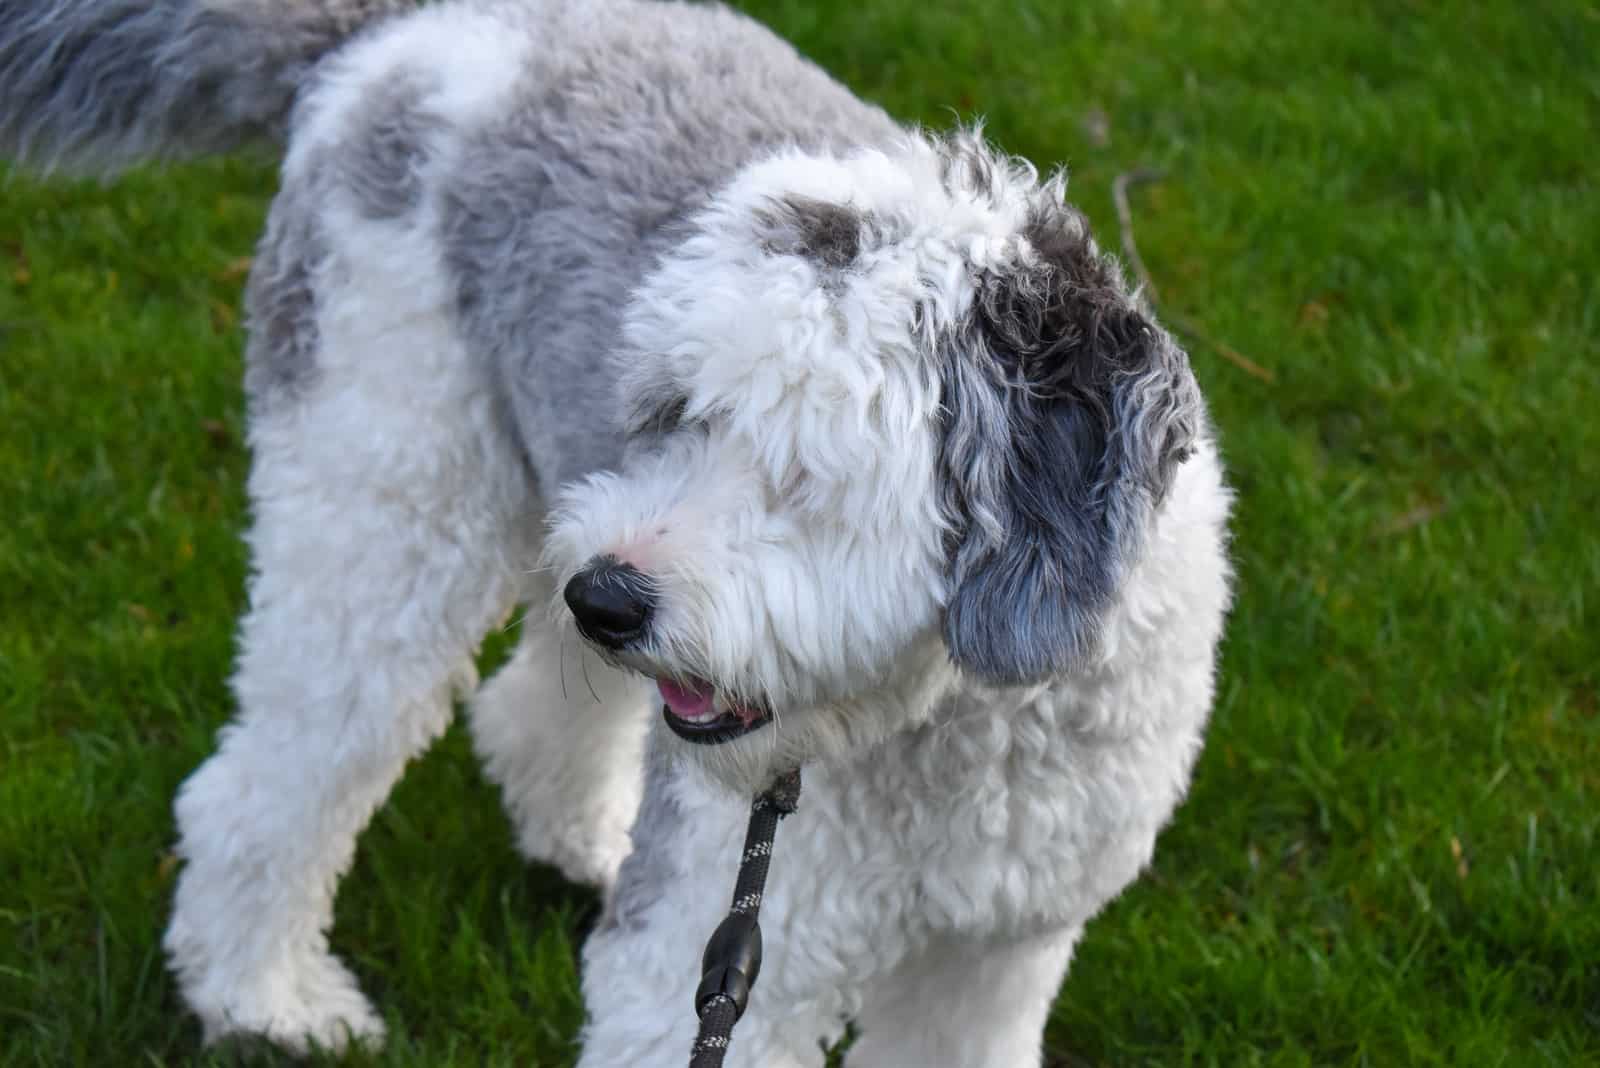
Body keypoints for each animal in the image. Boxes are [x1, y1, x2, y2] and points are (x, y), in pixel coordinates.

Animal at [0, 4, 1235, 1061]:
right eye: (676, 411)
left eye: (807, 469)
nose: (610, 600)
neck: (971, 721)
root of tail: (407, 29)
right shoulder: (715, 955)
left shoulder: (994, 960)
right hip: (390, 501)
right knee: (279, 769)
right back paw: (266, 1000)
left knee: (526, 703)